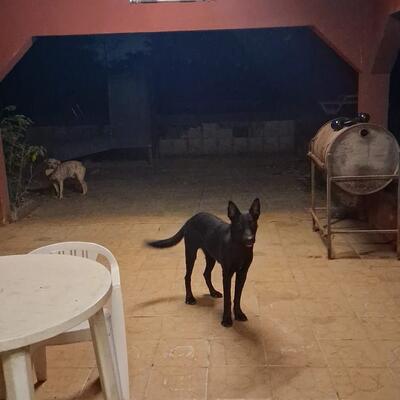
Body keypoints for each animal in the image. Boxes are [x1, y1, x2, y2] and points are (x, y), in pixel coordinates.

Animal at [147, 198, 260, 327]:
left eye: (253, 224)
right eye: (239, 226)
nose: (250, 239)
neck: (239, 248)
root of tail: (190, 219)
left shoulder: (242, 273)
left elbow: (237, 297)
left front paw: (238, 314)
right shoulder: (227, 274)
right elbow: (228, 298)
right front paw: (226, 319)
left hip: (211, 257)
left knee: (206, 274)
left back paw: (213, 292)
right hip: (191, 253)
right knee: (187, 277)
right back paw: (189, 298)